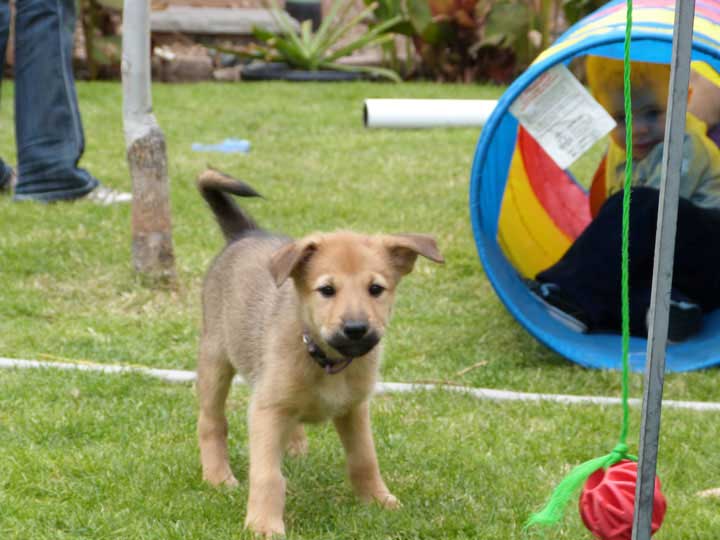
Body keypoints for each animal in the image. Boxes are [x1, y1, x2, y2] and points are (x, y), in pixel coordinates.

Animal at [197, 169, 444, 536]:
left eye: (376, 289)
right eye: (327, 290)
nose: (356, 329)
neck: (326, 361)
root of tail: (245, 233)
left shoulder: (354, 409)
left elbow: (364, 459)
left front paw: (378, 500)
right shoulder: (266, 410)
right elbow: (268, 475)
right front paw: (263, 524)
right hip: (215, 359)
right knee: (212, 421)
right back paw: (217, 476)